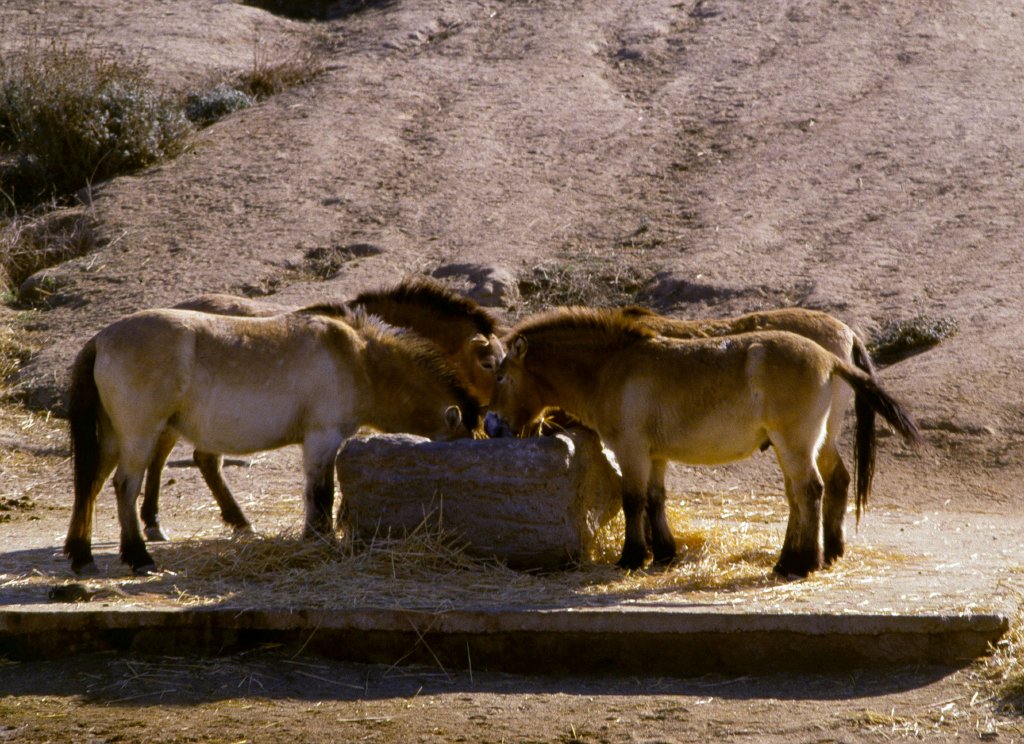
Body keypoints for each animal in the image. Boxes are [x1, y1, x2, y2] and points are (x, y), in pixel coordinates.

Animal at [65, 306, 482, 575]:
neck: (358, 360)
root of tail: (101, 340)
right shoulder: (323, 437)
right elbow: (321, 493)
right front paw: (320, 539)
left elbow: (316, 492)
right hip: (140, 436)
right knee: (124, 486)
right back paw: (138, 557)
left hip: (114, 438)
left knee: (91, 484)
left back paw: (81, 555)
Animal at [139, 277, 505, 541]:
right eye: (489, 363)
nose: (497, 421)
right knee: (162, 458)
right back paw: (154, 522)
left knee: (203, 460)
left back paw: (236, 521)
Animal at [487, 307, 921, 577]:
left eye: (501, 376)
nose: (491, 425)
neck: (613, 365)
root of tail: (831, 357)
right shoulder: (655, 455)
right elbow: (655, 499)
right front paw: (663, 554)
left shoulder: (630, 450)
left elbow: (633, 501)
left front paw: (631, 558)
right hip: (799, 445)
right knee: (804, 494)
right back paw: (790, 561)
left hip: (797, 444)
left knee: (811, 491)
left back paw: (805, 564)